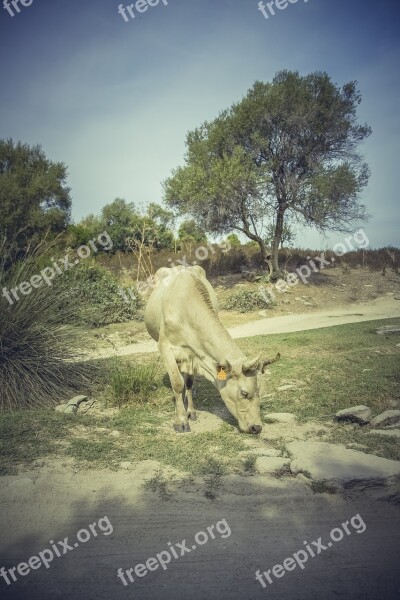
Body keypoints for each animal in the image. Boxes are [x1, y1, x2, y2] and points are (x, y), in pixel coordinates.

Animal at [145, 264, 280, 434]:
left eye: (260, 391)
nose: (257, 427)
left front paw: (191, 412)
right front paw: (180, 421)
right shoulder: (165, 347)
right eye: (244, 393)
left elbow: (188, 382)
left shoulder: (193, 354)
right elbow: (177, 383)